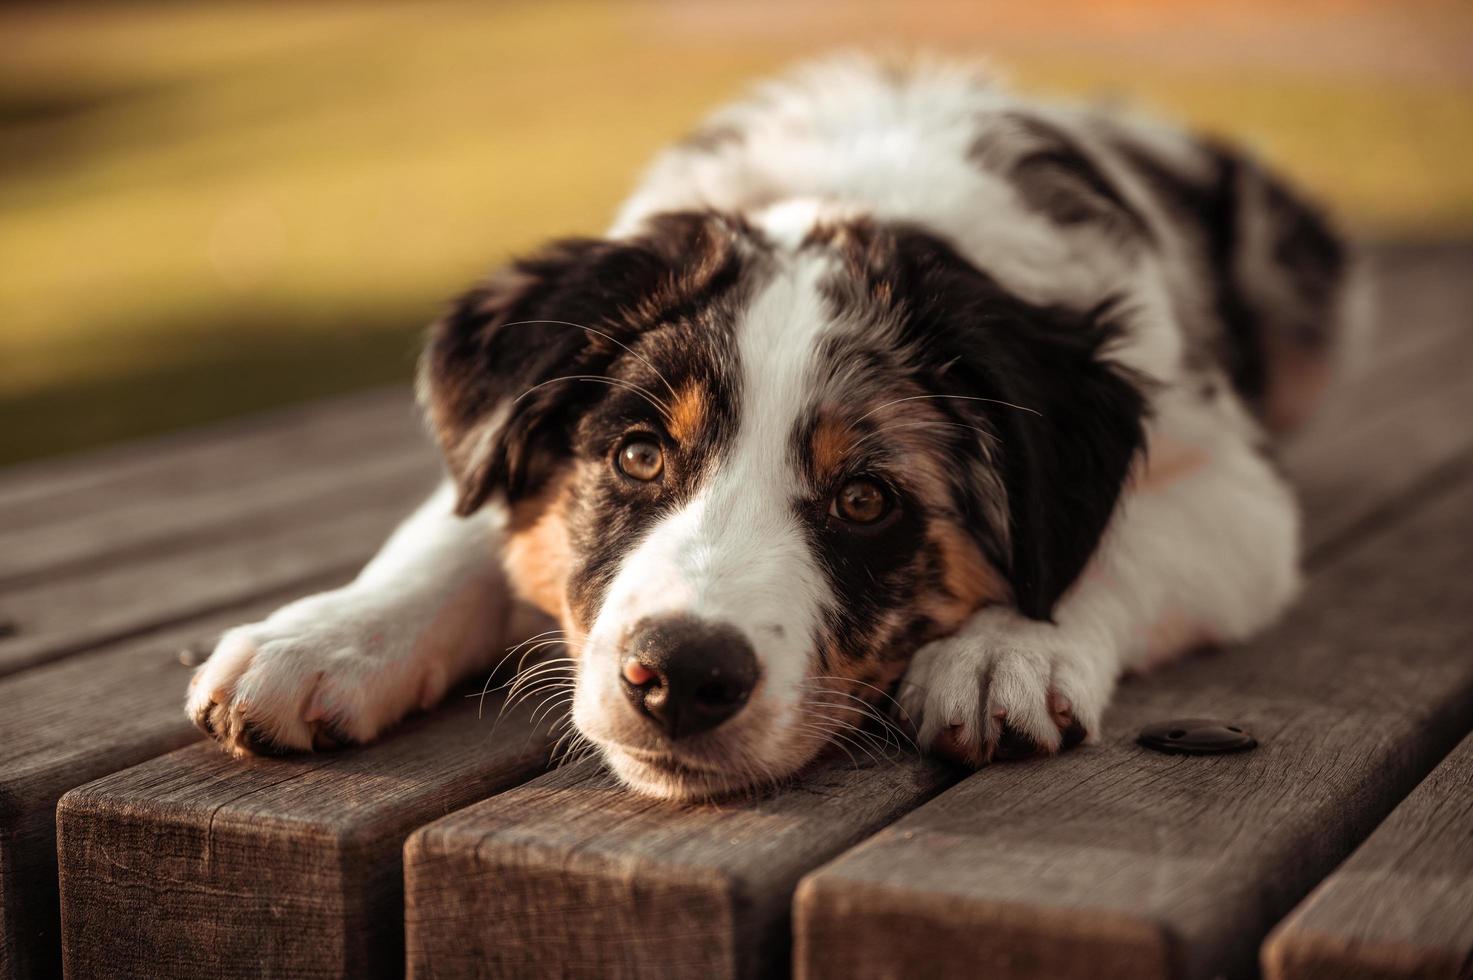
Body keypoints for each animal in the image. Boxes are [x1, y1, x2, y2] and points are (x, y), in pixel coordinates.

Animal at [190, 57, 1349, 801]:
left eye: (865, 498)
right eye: (638, 453)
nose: (678, 676)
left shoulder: (1238, 490)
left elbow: (1115, 542)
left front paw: (1005, 648)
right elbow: (455, 528)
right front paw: (321, 638)